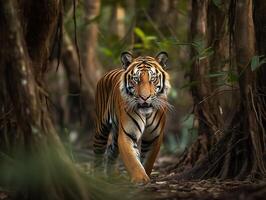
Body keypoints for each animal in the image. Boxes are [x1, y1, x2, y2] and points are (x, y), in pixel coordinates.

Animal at [93, 51, 170, 183]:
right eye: (136, 79)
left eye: (153, 79)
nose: (145, 97)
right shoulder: (127, 134)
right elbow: (132, 161)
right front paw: (140, 179)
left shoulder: (153, 137)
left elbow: (148, 161)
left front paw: (146, 176)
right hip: (101, 129)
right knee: (98, 151)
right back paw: (97, 176)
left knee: (111, 151)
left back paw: (112, 175)